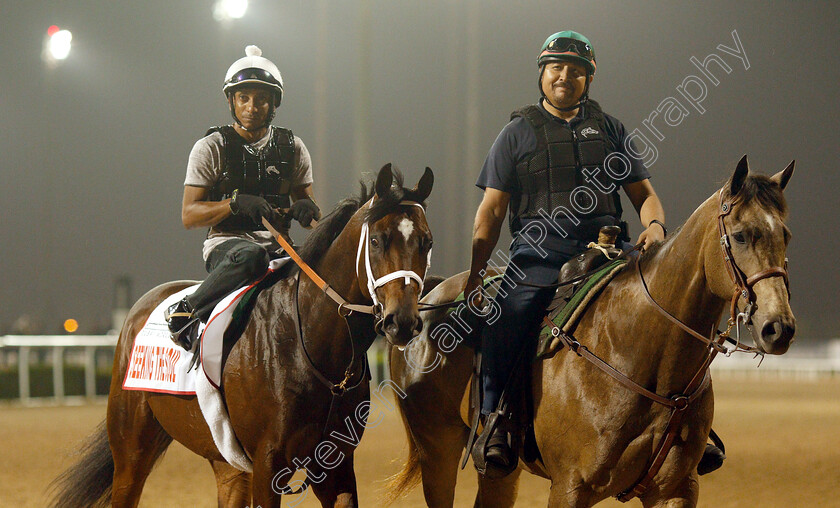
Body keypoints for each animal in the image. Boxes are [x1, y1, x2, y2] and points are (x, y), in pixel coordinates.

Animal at [50, 165, 436, 508]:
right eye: (378, 240)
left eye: (426, 242)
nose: (402, 322)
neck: (310, 344)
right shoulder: (268, 463)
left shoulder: (334, 463)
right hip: (131, 449)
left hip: (226, 459)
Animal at [388, 157, 796, 506]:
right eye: (740, 235)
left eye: (786, 235)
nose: (778, 327)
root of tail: (430, 297)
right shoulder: (570, 488)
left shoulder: (676, 489)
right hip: (437, 451)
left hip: (499, 473)